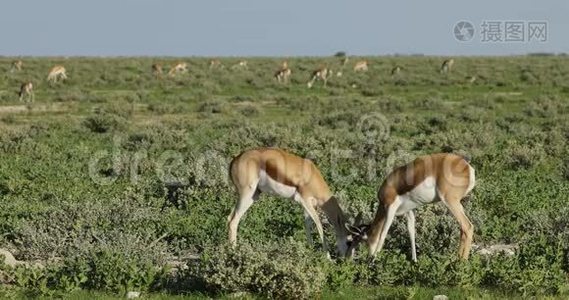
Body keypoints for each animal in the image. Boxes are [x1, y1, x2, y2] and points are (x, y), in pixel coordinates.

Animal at [346, 154, 474, 262]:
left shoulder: (390, 207)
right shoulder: (409, 211)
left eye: (358, 240)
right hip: (457, 204)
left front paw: (373, 261)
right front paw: (414, 261)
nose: (348, 259)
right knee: (463, 229)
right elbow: (411, 233)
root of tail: (467, 166)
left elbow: (383, 233)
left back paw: (461, 263)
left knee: (467, 226)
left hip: (450, 201)